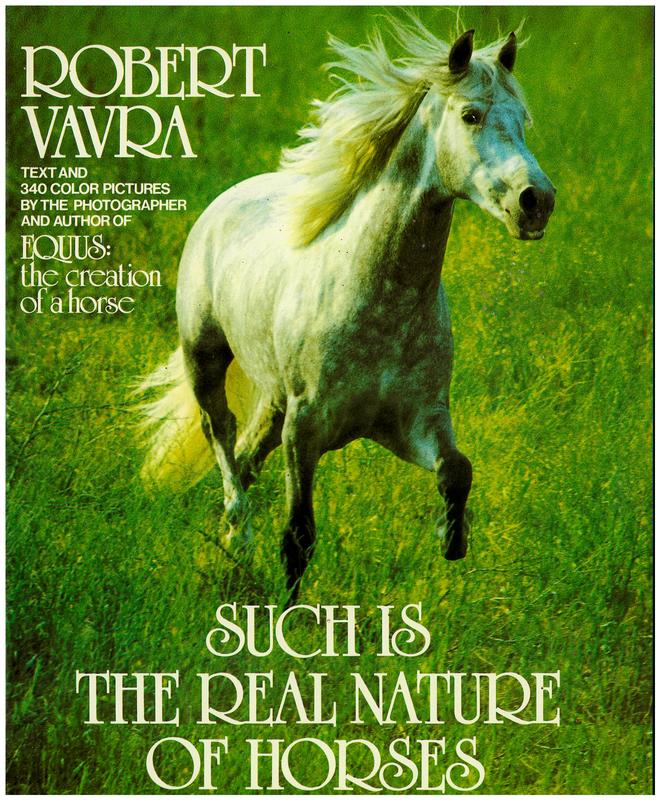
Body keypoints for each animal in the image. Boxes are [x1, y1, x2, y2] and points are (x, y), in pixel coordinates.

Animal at [139, 18, 555, 600]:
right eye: (471, 115)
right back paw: (237, 535)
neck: (381, 301)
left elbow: (457, 470)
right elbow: (298, 537)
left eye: (523, 121)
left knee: (246, 455)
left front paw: (453, 540)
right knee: (220, 436)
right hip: (206, 357)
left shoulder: (414, 421)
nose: (536, 201)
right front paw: (287, 613)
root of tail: (228, 199)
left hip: (274, 397)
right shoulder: (306, 429)